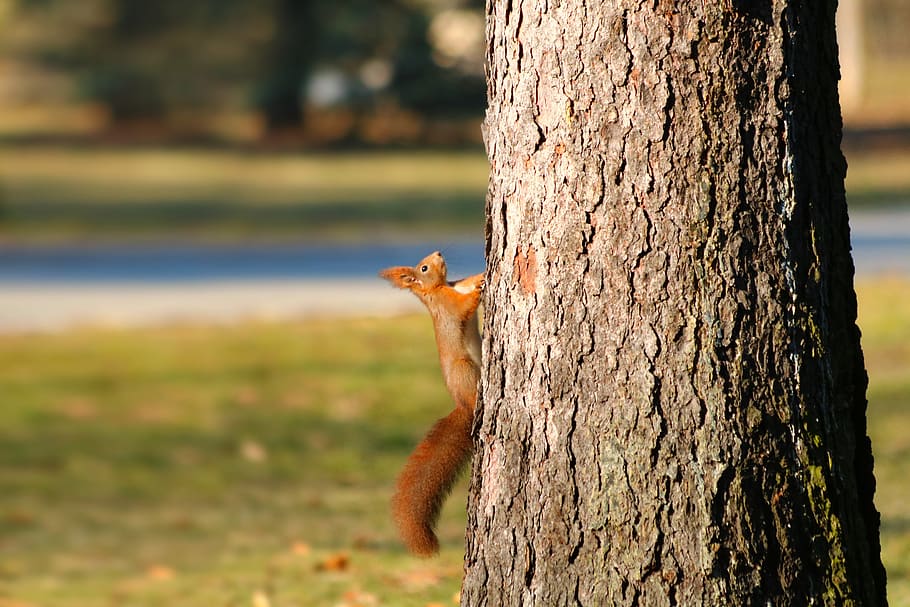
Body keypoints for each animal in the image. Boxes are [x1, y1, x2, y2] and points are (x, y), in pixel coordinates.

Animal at [379, 251, 484, 557]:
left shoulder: (456, 284)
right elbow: (463, 308)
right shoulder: (449, 307)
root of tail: (463, 406)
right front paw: (480, 289)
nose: (439, 253)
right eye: (424, 268)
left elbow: (467, 282)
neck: (441, 288)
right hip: (464, 370)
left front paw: (483, 274)